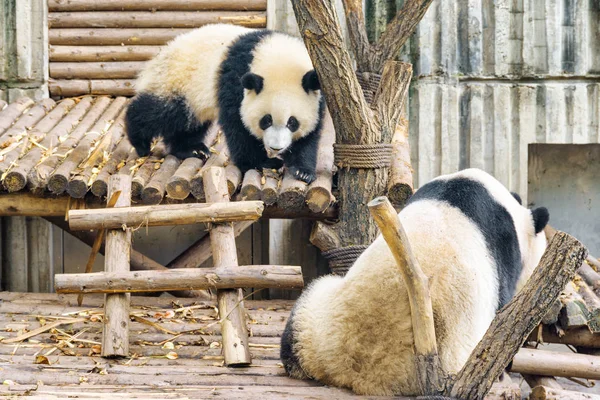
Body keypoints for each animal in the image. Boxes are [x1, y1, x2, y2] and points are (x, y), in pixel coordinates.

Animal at [123, 23, 326, 183]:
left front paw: (302, 171)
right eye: (266, 120)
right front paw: (261, 162)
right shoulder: (236, 80)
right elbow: (238, 125)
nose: (276, 148)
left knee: (190, 123)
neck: (278, 58)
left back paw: (191, 149)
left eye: (292, 122)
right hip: (179, 80)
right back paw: (140, 142)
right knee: (163, 112)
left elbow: (310, 136)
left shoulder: (316, 91)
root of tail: (163, 51)